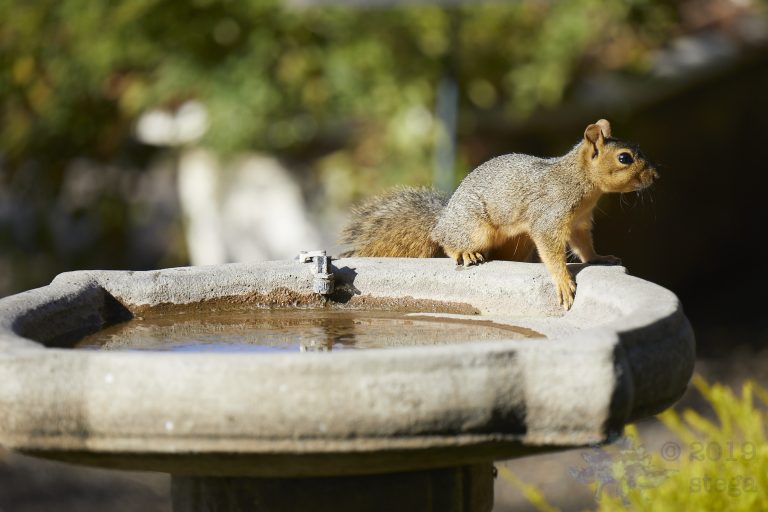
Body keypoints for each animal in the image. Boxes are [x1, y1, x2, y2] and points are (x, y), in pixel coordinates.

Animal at [340, 119, 659, 309]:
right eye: (624, 158)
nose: (656, 176)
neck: (580, 182)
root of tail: (442, 220)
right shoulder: (549, 216)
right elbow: (552, 251)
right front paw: (564, 282)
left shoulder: (579, 222)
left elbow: (583, 245)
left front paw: (598, 258)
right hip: (473, 228)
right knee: (449, 241)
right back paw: (465, 253)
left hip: (516, 242)